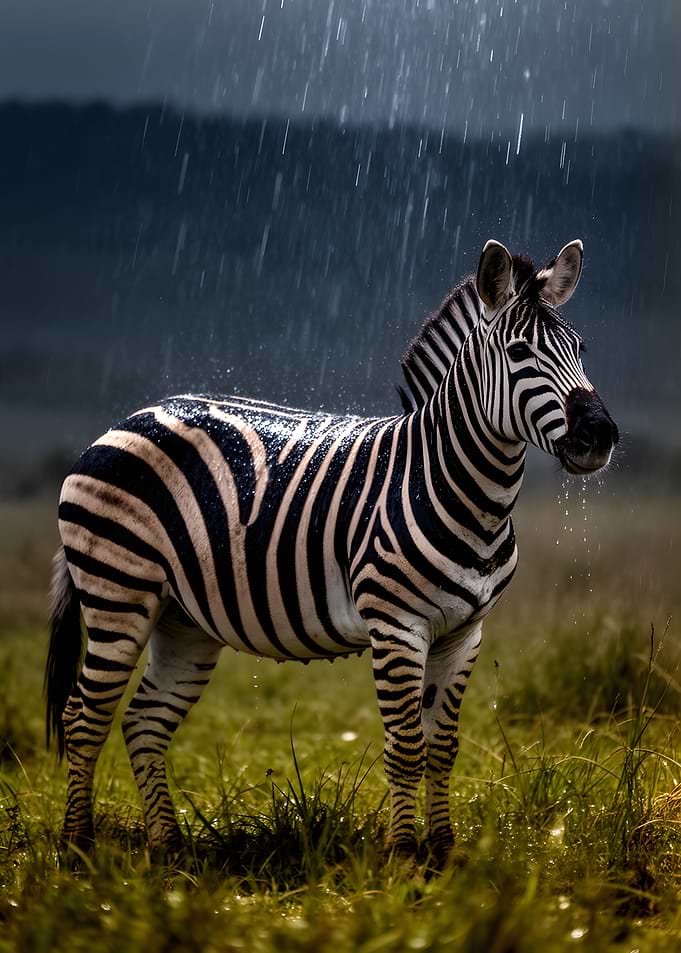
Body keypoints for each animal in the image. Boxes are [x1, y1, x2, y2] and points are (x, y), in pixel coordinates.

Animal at [46, 239, 618, 868]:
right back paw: (76, 850)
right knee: (82, 719)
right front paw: (404, 858)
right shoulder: (397, 625)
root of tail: (130, 418)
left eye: (580, 349)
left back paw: (170, 852)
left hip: (183, 619)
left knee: (144, 722)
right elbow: (406, 748)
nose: (601, 436)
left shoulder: (465, 632)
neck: (453, 486)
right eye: (518, 353)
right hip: (116, 590)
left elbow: (442, 746)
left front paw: (442, 854)